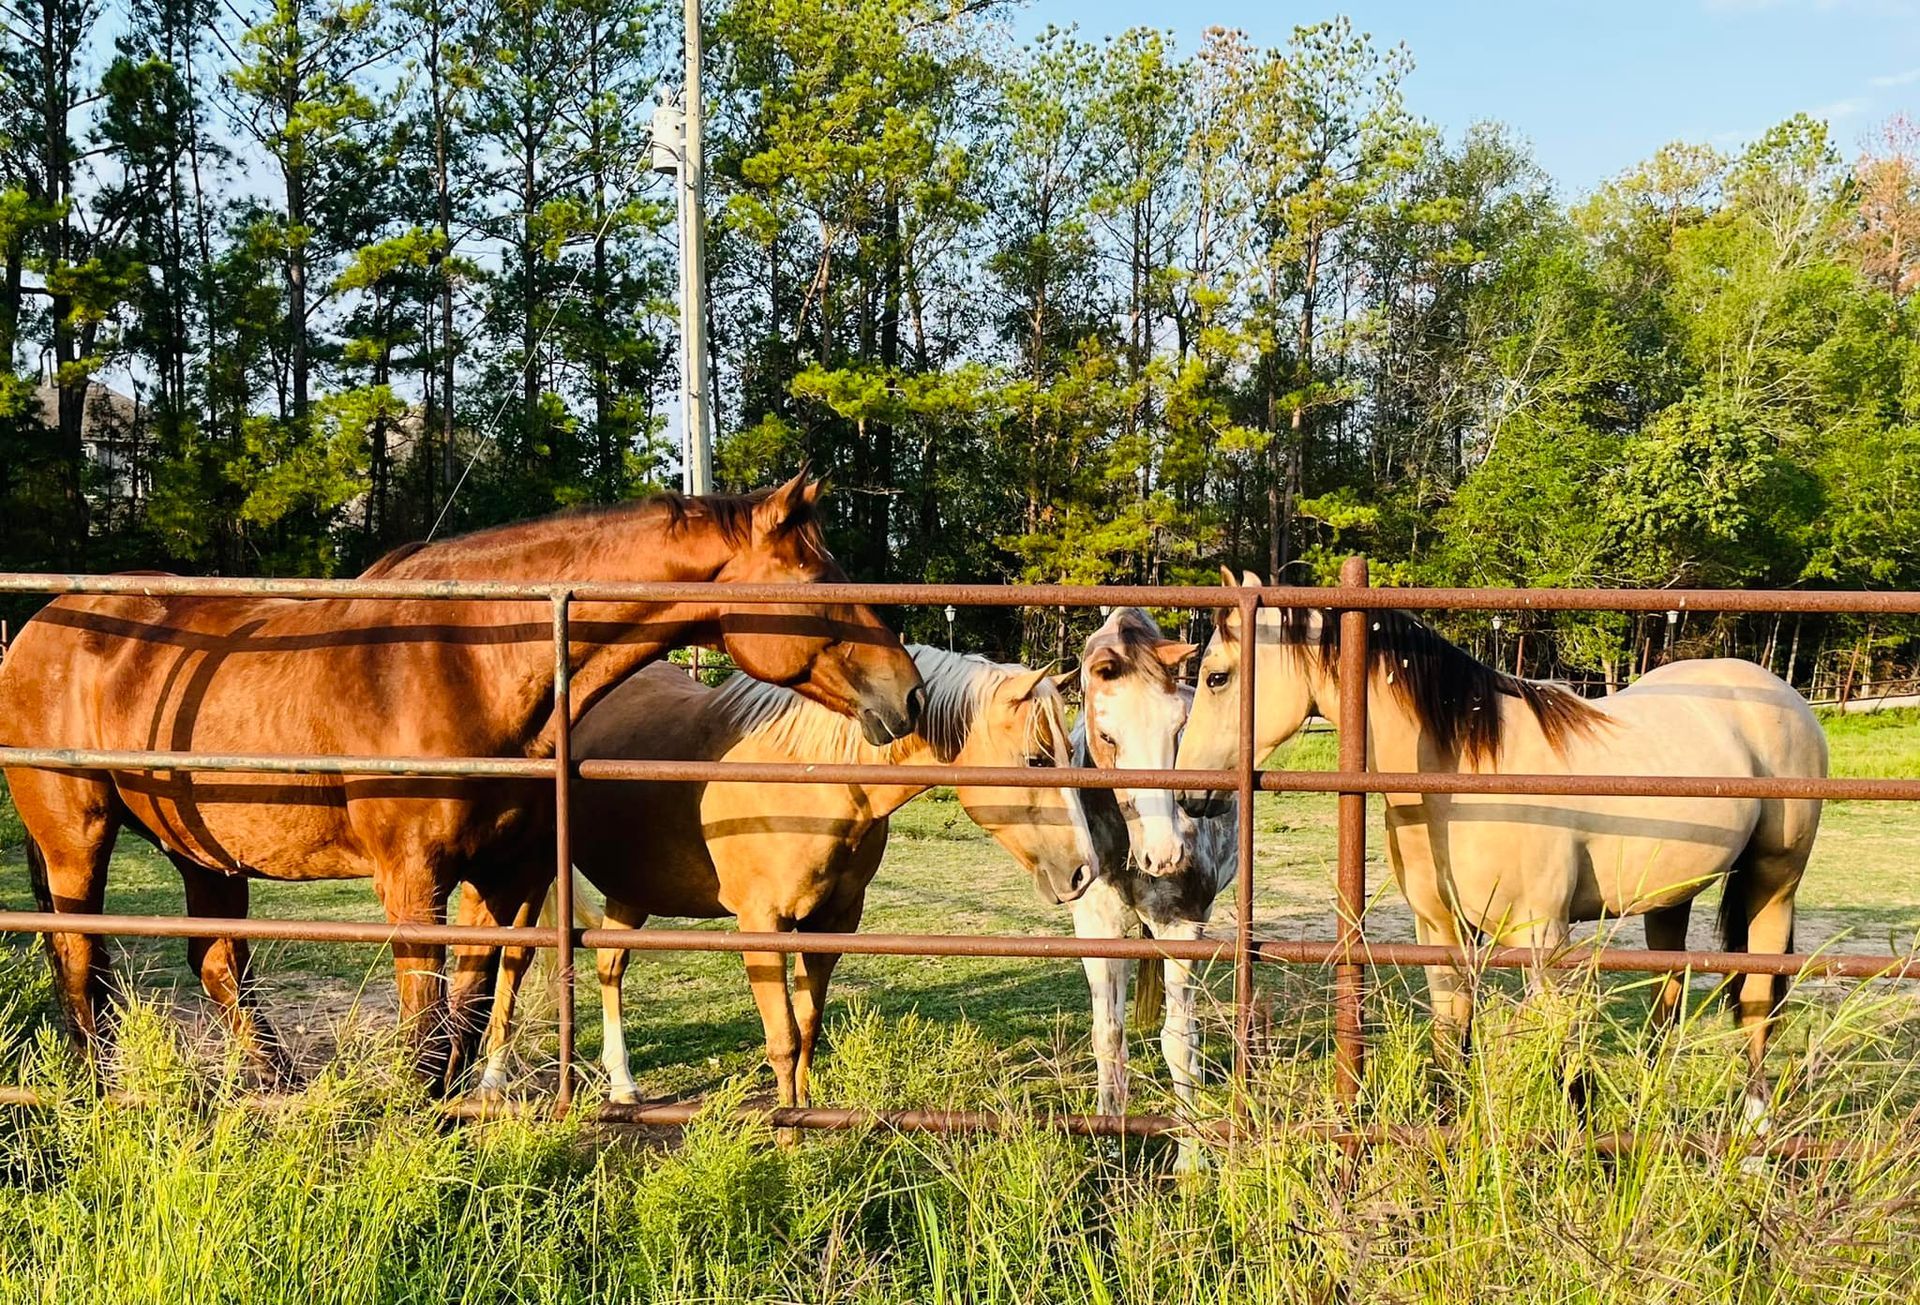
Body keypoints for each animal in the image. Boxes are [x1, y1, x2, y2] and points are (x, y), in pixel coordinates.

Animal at [0, 473, 925, 1085]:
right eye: (819, 583)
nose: (909, 693)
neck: (466, 657)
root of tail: (40, 624)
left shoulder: (505, 874)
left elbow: (471, 1014)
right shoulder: (414, 880)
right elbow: (425, 1022)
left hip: (205, 851)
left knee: (218, 963)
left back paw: (276, 1084)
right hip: (75, 837)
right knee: (80, 956)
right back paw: (94, 1090)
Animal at [473, 645, 1094, 1114]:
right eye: (1037, 758)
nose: (1083, 870)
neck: (813, 775)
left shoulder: (832, 923)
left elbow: (808, 1027)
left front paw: (809, 1113)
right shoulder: (762, 925)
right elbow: (783, 1038)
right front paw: (789, 1133)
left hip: (631, 888)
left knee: (609, 967)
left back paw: (623, 1086)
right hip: (530, 876)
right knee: (513, 959)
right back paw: (492, 1082)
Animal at [1069, 608, 1235, 1171]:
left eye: (1179, 728)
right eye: (1106, 735)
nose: (1164, 855)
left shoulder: (1181, 926)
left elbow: (1179, 1043)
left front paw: (1190, 1162)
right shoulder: (1095, 930)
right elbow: (1107, 1032)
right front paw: (1106, 1138)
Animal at [1176, 570, 1827, 1113]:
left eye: (1216, 676)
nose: (1189, 793)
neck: (1464, 772)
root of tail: (1781, 694)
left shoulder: (1542, 937)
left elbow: (1560, 1049)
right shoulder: (1441, 932)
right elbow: (1452, 1039)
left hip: (1775, 883)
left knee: (1757, 999)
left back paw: (1755, 1122)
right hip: (1669, 898)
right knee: (1668, 1000)